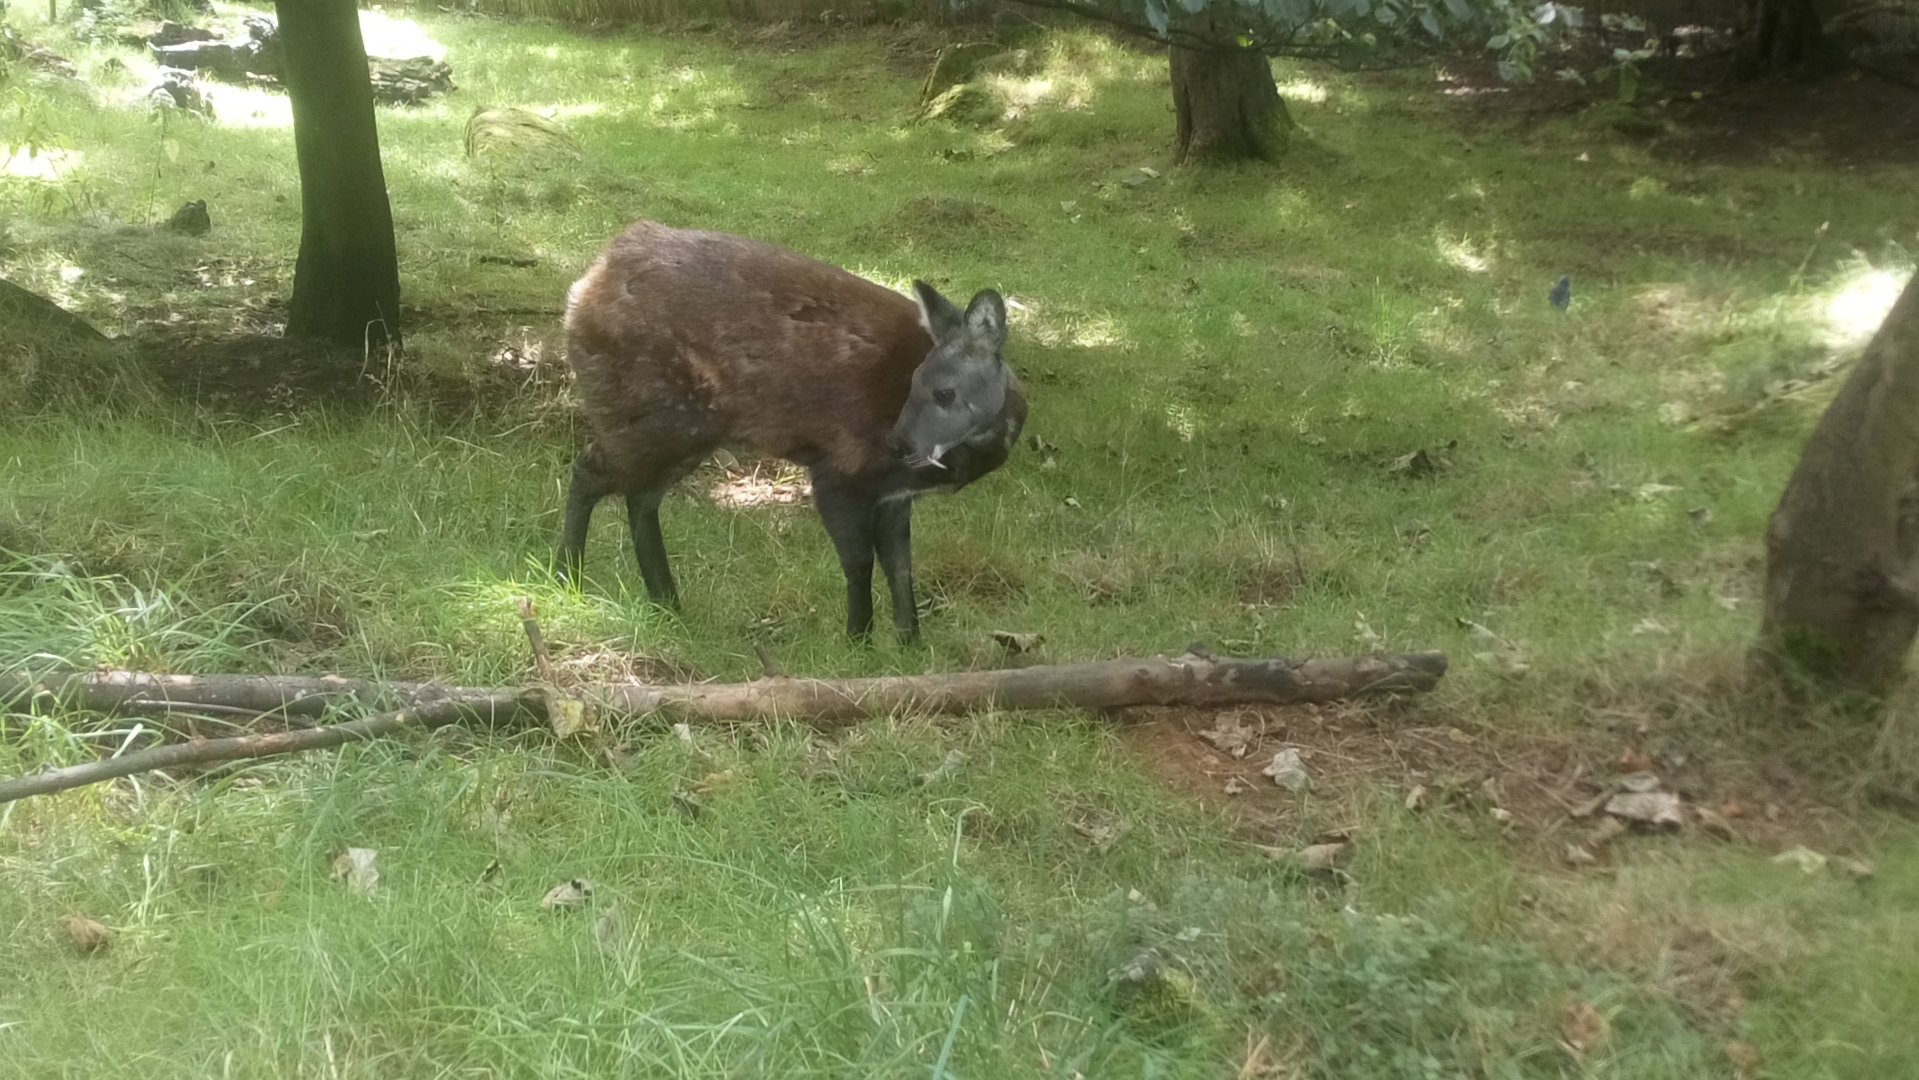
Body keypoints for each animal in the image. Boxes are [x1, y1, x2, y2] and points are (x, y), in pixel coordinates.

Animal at [556, 220, 1027, 641]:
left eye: (945, 392)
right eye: (913, 382)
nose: (898, 443)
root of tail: (582, 290)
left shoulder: (894, 496)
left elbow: (901, 565)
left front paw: (910, 646)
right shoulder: (839, 471)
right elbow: (860, 564)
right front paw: (858, 643)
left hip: (676, 430)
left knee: (639, 498)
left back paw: (667, 604)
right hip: (649, 414)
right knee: (590, 471)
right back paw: (567, 580)